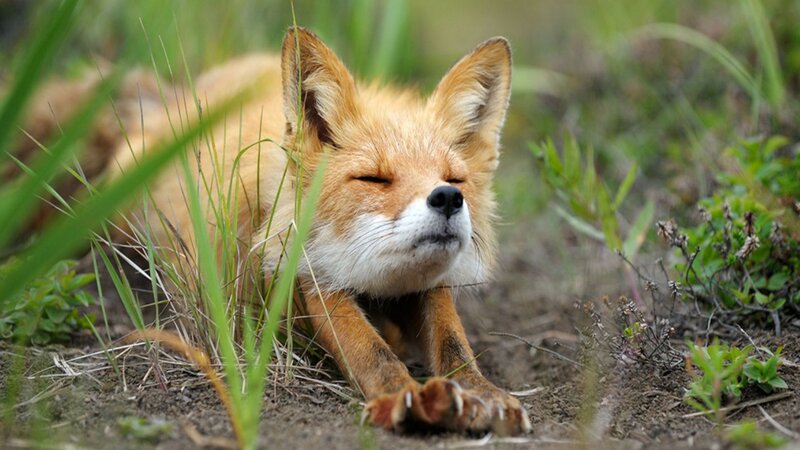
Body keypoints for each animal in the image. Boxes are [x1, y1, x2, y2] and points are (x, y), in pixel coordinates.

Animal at [16, 27, 530, 435]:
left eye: (454, 179)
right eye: (374, 179)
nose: (446, 199)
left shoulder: (427, 284)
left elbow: (452, 339)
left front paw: (481, 391)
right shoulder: (302, 269)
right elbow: (367, 347)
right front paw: (403, 396)